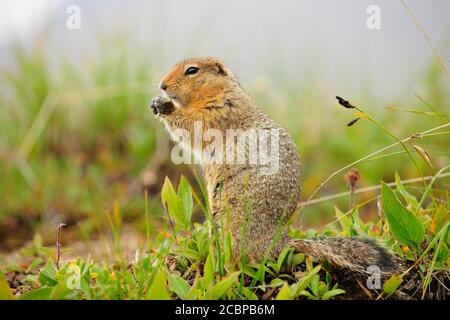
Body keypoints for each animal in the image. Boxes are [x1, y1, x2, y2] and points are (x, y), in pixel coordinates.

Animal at [150, 57, 400, 276]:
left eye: (192, 70)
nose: (162, 85)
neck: (220, 91)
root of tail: (280, 242)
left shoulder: (220, 110)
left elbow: (195, 125)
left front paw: (166, 106)